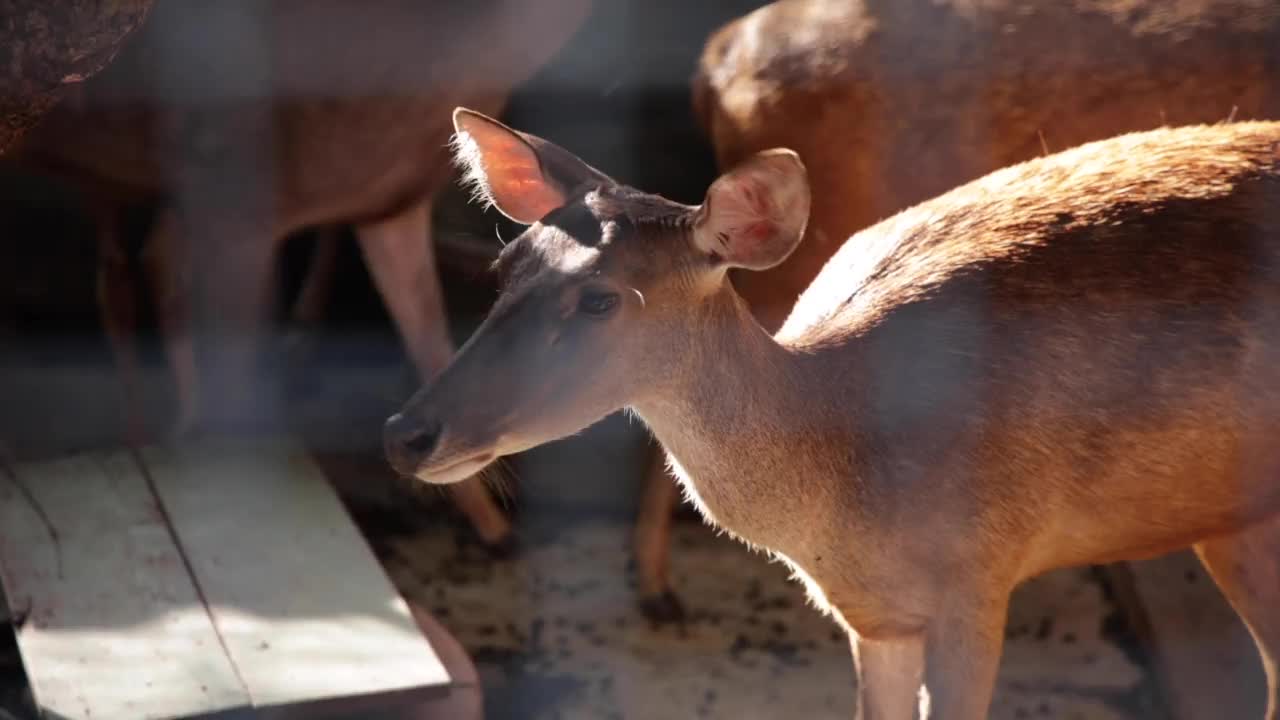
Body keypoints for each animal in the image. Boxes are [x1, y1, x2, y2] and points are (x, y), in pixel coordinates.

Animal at [381, 107, 1280, 717]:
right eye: (506, 267)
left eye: (602, 299)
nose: (405, 433)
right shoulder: (873, 619)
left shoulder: (981, 575)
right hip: (1231, 519)